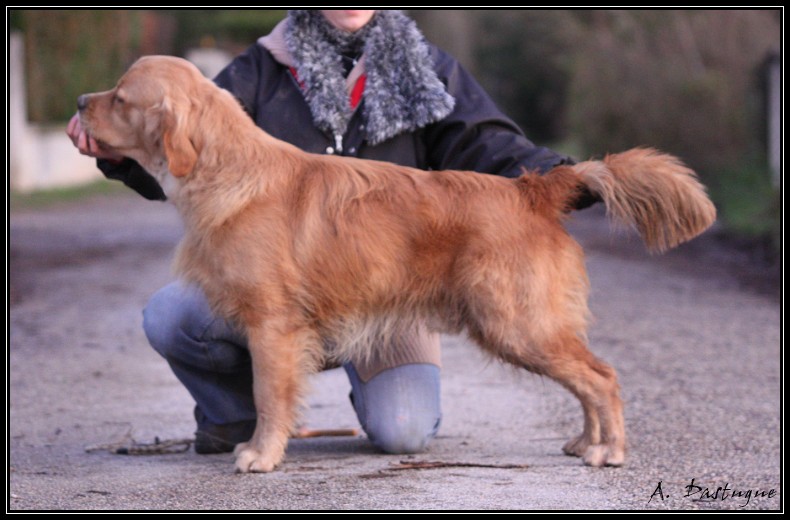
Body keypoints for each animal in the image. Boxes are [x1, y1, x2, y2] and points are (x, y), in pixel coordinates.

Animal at [79, 55, 716, 472]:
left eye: (120, 97)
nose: (81, 102)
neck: (228, 172)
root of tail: (534, 189)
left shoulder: (272, 324)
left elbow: (268, 394)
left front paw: (261, 454)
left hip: (519, 323)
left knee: (601, 377)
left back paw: (609, 449)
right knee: (588, 380)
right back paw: (585, 442)